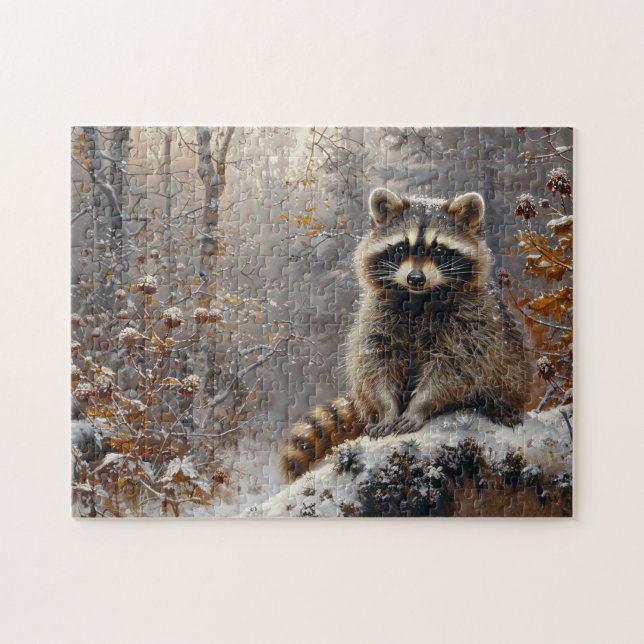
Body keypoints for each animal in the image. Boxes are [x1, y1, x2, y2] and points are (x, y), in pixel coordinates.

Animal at [280, 188, 530, 482]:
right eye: (401, 248)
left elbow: (454, 369)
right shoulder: (377, 318)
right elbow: (376, 364)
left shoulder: (471, 323)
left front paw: (420, 405)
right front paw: (388, 410)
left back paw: (498, 406)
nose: (416, 278)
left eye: (439, 250)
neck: (418, 299)